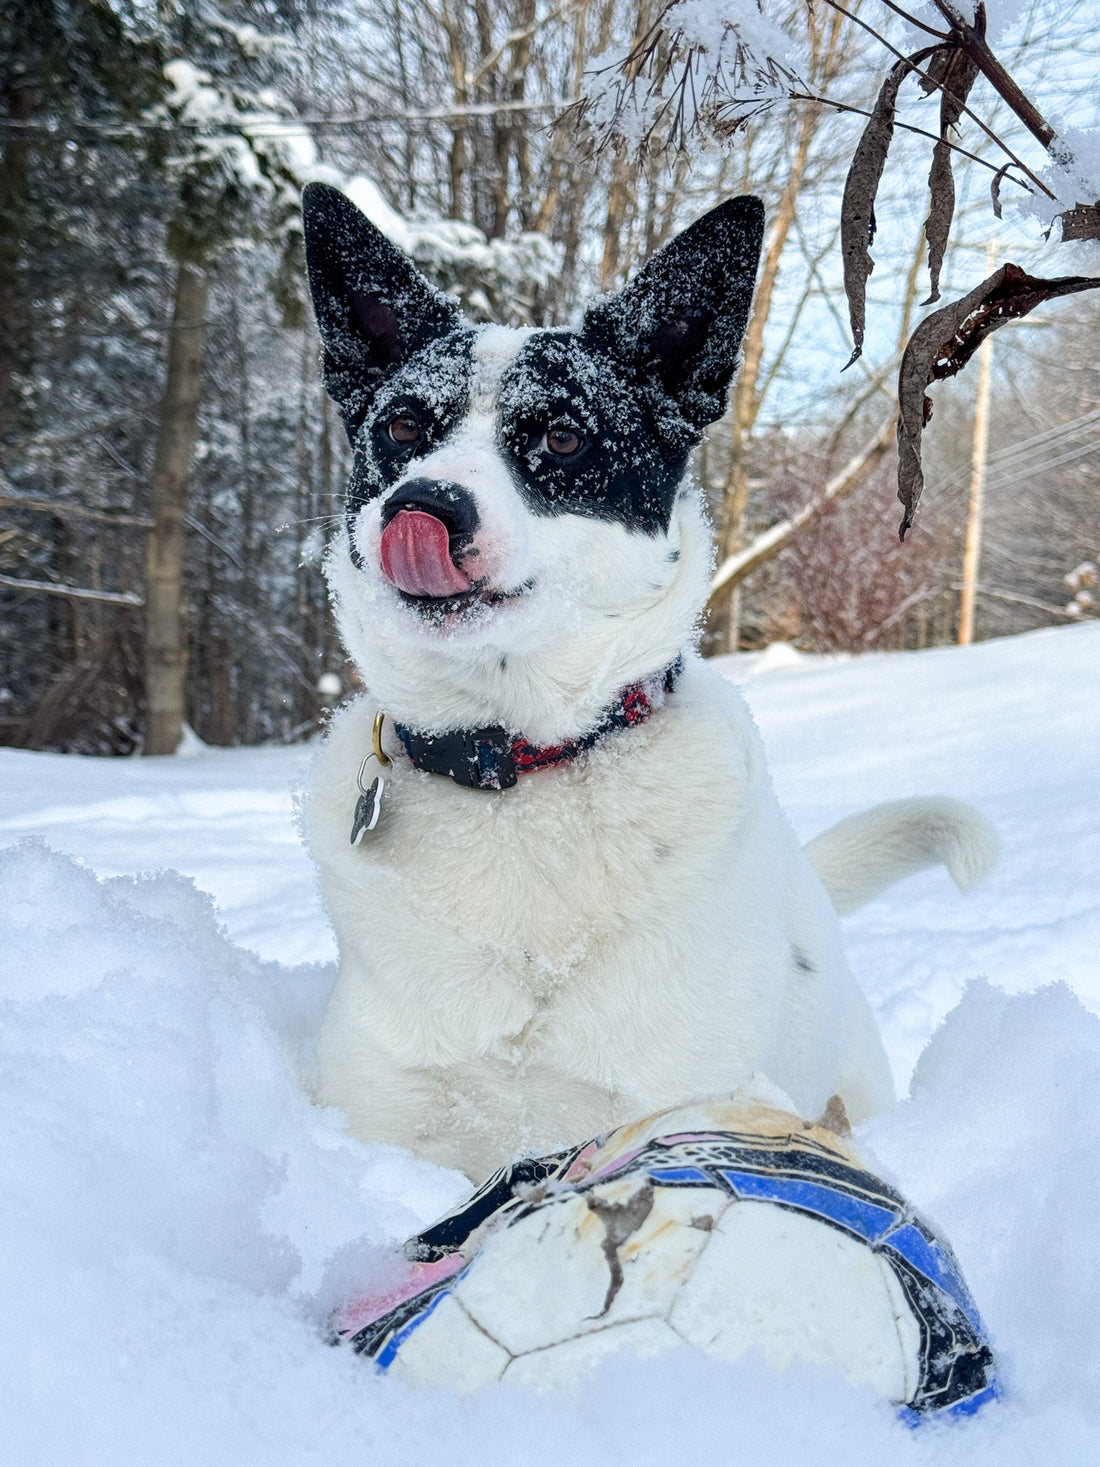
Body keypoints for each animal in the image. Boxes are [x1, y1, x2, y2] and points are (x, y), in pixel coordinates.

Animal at [302, 183, 997, 1179]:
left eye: (562, 435)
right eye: (401, 426)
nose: (422, 505)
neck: (519, 766)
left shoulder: (674, 1102)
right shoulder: (385, 1121)